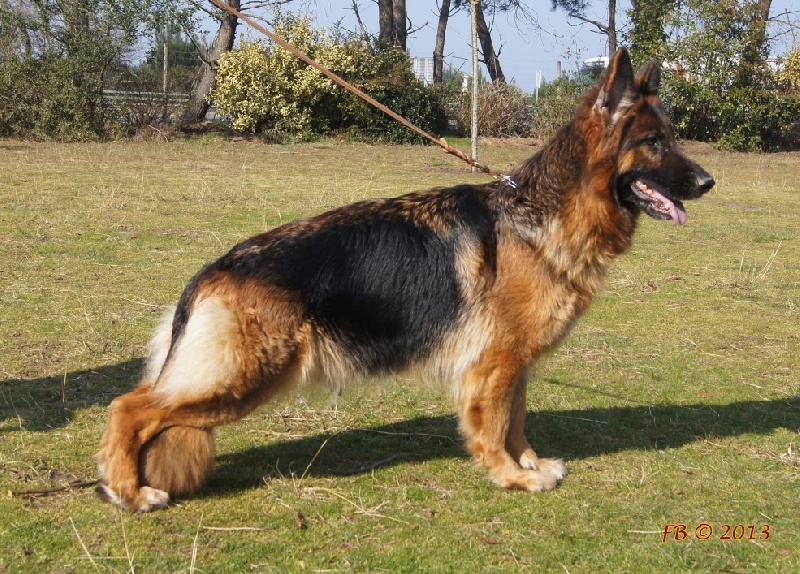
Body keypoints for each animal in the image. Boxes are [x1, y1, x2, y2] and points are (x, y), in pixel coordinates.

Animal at [97, 48, 714, 511]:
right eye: (655, 143)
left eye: (672, 138)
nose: (709, 182)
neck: (542, 213)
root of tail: (211, 271)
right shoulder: (494, 365)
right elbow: (493, 427)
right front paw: (511, 476)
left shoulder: (513, 364)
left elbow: (515, 421)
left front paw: (529, 462)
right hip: (245, 376)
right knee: (127, 408)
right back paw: (130, 491)